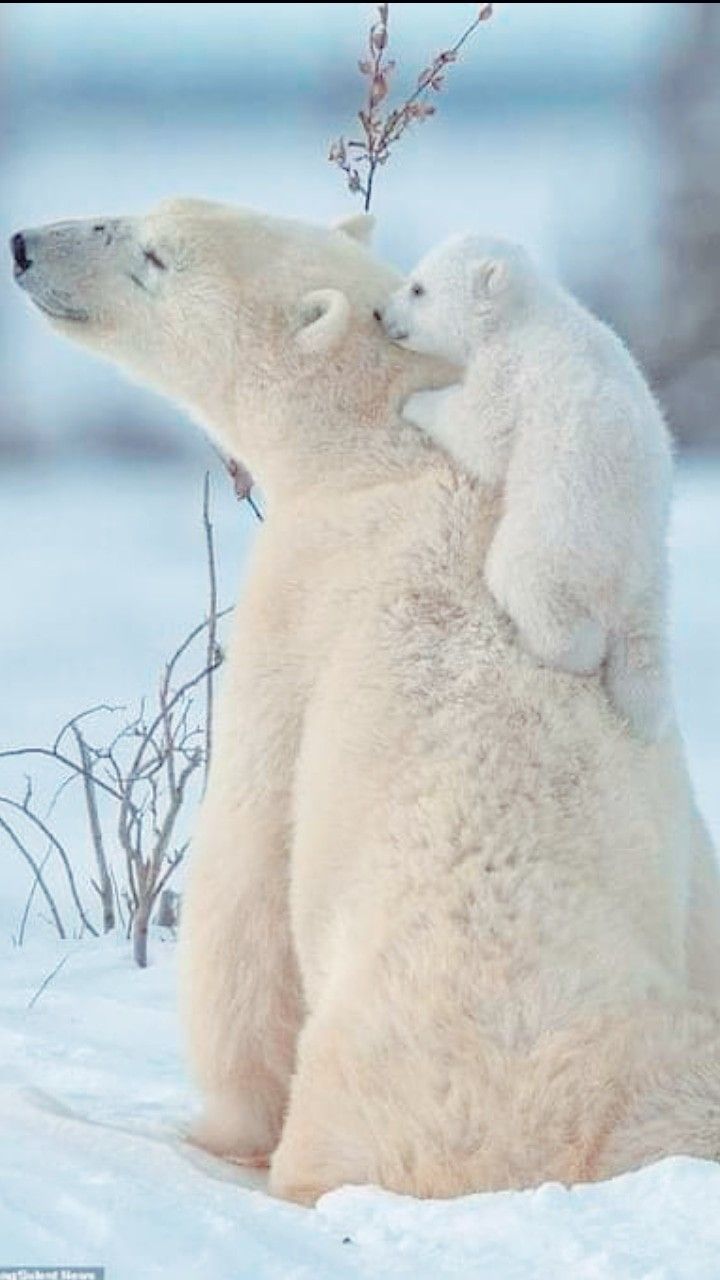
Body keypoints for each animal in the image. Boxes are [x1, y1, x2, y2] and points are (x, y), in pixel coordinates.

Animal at [11, 199, 717, 1198]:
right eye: (136, 217)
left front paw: (215, 1128)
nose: (26, 246)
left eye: (153, 255)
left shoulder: (300, 597)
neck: (383, 451)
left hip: (389, 1067)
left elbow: (246, 878)